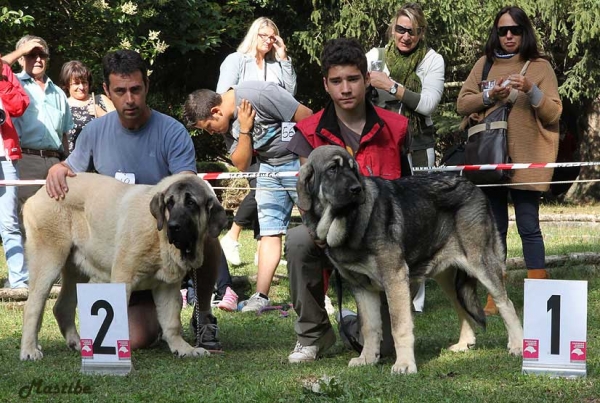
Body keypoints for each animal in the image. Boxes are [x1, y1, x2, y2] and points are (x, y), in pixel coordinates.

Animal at [20, 172, 227, 362]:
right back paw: (29, 350)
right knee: (33, 305)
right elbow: (117, 317)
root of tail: (38, 194)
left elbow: (172, 322)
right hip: (48, 260)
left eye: (191, 203)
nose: (173, 226)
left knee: (62, 306)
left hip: (75, 270)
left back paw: (77, 343)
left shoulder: (167, 286)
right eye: (170, 203)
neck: (158, 235)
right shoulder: (123, 278)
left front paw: (183, 348)